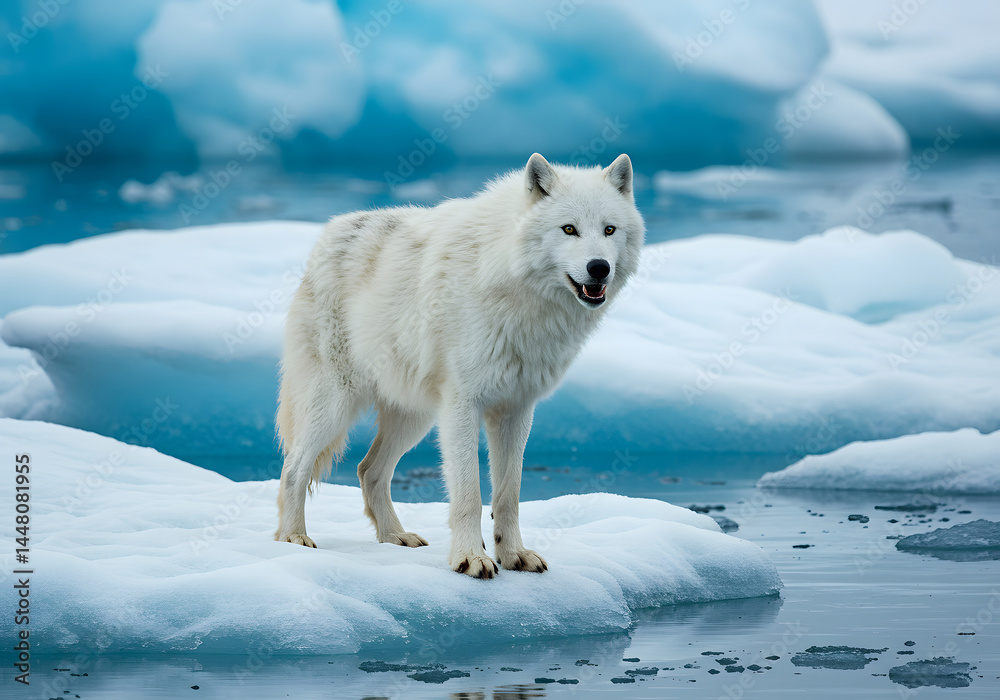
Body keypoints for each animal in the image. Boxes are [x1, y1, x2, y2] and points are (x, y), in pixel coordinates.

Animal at [275, 153, 644, 578]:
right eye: (569, 229)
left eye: (609, 229)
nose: (599, 267)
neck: (517, 292)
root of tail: (328, 235)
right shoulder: (463, 405)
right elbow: (469, 493)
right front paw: (471, 559)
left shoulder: (516, 409)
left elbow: (508, 495)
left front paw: (513, 555)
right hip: (336, 405)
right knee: (294, 467)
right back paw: (293, 538)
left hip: (414, 417)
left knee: (368, 470)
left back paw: (394, 538)